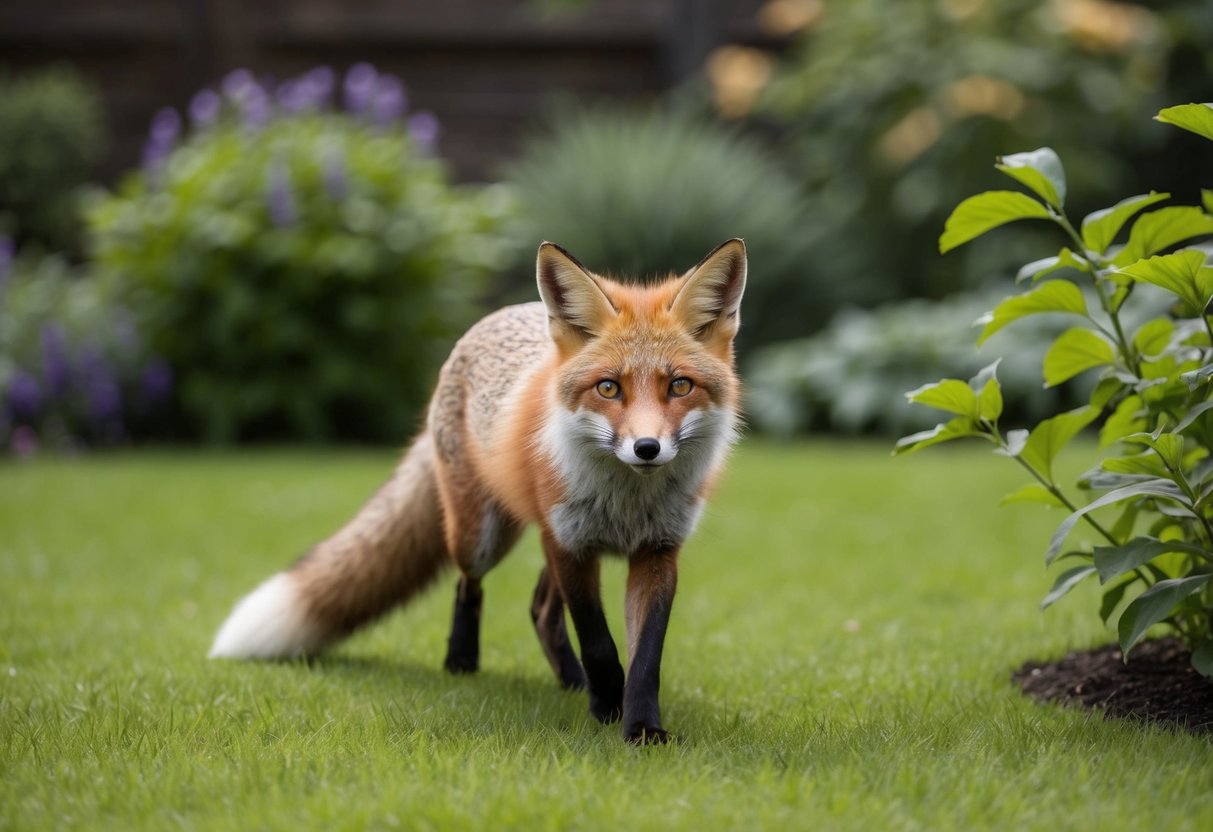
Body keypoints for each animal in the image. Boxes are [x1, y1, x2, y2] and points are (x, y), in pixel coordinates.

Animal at [209, 238, 747, 743]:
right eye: (609, 388)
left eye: (680, 386)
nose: (647, 448)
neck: (628, 503)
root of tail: (490, 320)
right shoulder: (570, 546)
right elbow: (599, 644)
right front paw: (606, 709)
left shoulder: (655, 551)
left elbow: (645, 658)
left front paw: (640, 728)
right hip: (485, 537)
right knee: (469, 583)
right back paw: (463, 662)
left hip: (549, 539)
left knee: (541, 610)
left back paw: (570, 682)